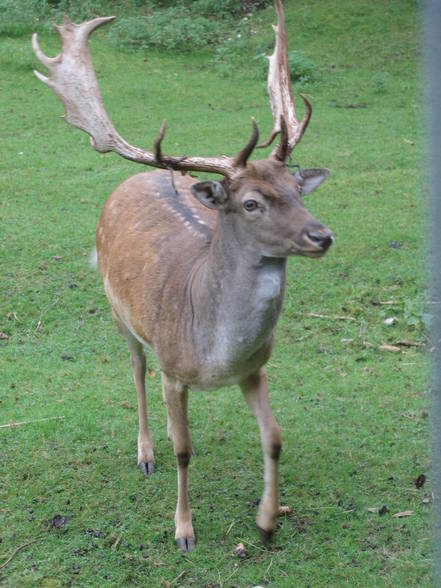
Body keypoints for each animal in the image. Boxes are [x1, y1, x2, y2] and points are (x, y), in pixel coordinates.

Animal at [32, 0, 332, 552]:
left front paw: (267, 520)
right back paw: (146, 452)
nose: (321, 236)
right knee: (135, 370)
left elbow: (275, 437)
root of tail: (135, 176)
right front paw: (184, 531)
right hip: (119, 315)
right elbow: (185, 451)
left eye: (297, 188)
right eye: (251, 203)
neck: (215, 354)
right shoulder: (174, 369)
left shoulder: (255, 368)